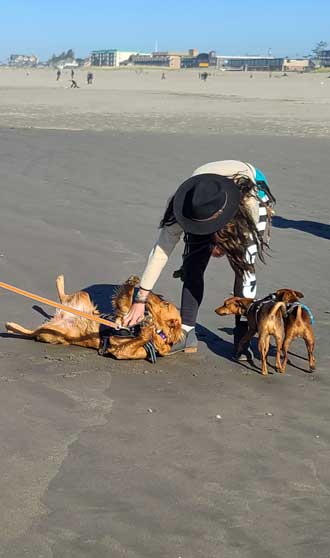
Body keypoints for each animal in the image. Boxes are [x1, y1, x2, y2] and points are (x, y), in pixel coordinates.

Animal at [5, 276, 182, 364]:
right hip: (82, 298)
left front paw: (147, 328)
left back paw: (10, 325)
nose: (151, 293)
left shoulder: (122, 352)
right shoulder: (124, 315)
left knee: (31, 332)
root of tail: (62, 315)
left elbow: (140, 338)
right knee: (63, 297)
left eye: (165, 304)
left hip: (53, 333)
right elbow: (126, 298)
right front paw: (132, 282)